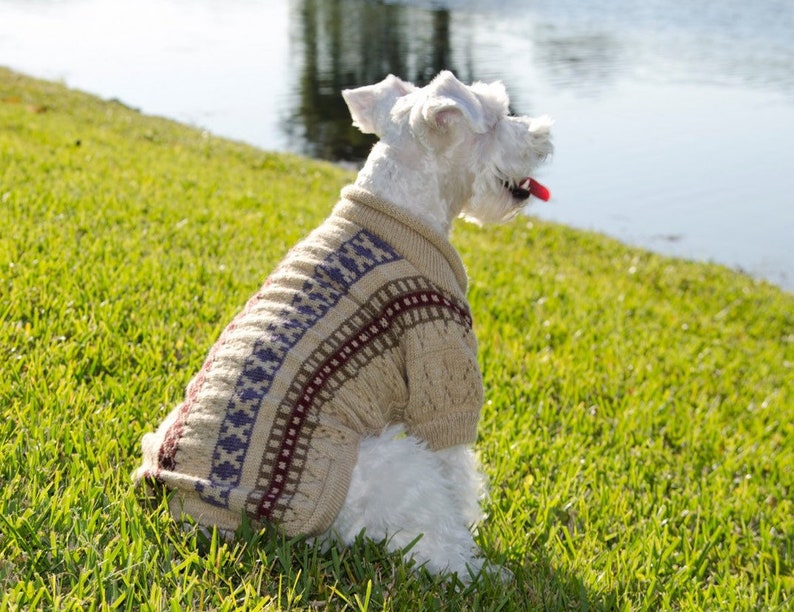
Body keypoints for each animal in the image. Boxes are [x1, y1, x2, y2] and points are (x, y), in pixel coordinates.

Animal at [135, 71, 552, 584]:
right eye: (494, 118)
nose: (543, 134)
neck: (401, 206)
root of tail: (201, 512)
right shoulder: (440, 371)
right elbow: (457, 471)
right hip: (391, 461)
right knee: (437, 546)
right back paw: (487, 573)